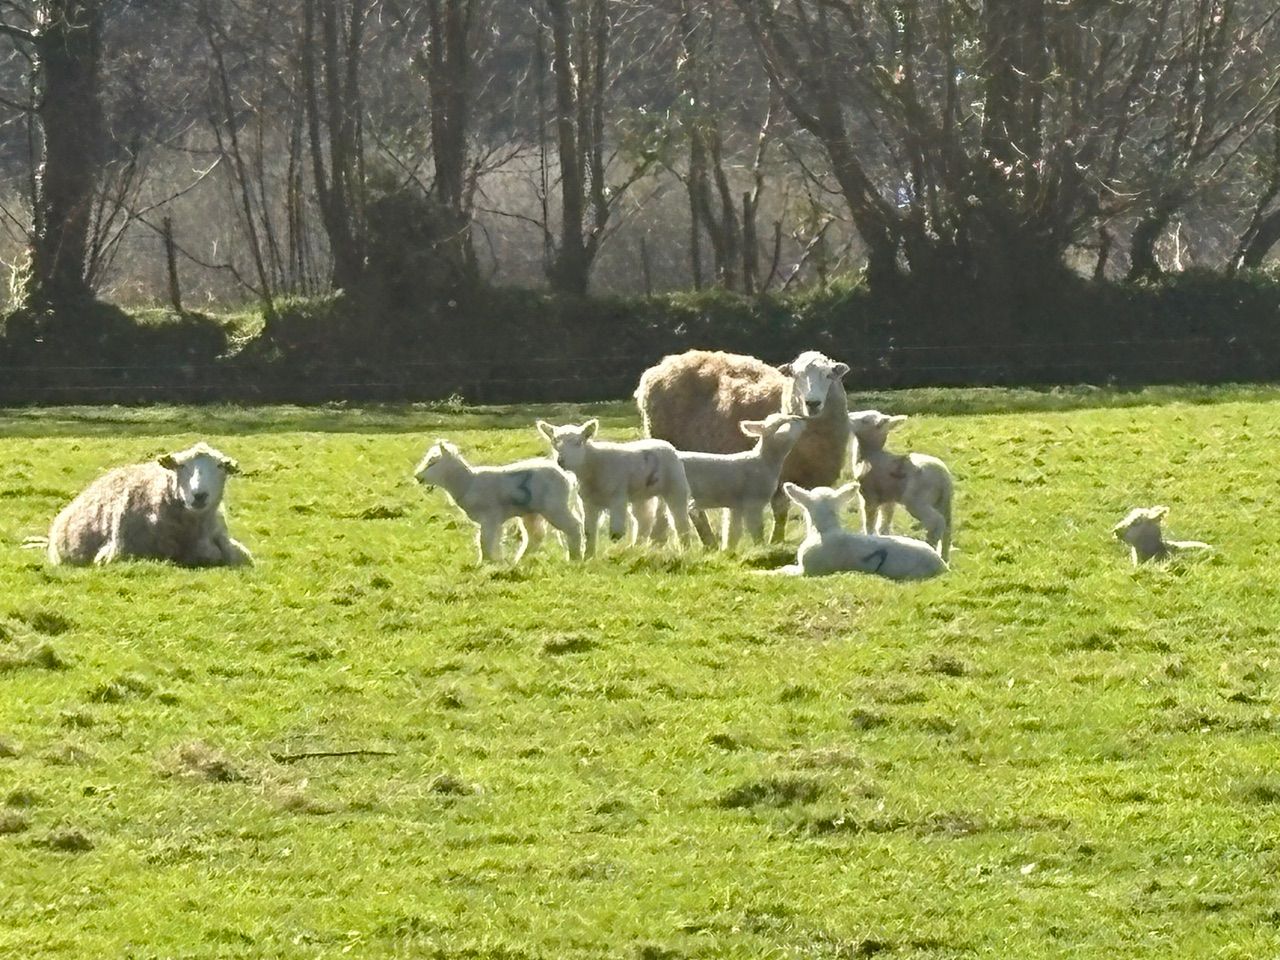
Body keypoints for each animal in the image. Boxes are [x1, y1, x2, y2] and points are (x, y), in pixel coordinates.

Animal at [413, 439, 583, 564]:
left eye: (433, 462)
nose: (417, 476)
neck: (467, 482)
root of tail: (567, 477)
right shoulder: (494, 520)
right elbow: (491, 539)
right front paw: (495, 561)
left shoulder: (490, 516)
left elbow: (484, 540)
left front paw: (485, 562)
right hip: (532, 512)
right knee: (535, 536)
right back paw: (519, 561)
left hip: (554, 506)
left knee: (574, 527)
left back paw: (575, 557)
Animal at [535, 419, 693, 557]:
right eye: (554, 443)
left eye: (578, 442)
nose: (561, 461)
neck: (593, 464)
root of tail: (665, 444)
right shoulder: (588, 502)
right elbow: (589, 531)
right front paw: (589, 557)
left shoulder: (618, 495)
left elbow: (616, 534)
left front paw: (613, 553)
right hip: (641, 494)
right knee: (644, 520)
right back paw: (636, 548)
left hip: (675, 484)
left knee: (680, 520)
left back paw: (685, 548)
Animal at [678, 413, 807, 551]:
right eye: (791, 420)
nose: (802, 418)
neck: (764, 461)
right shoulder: (753, 501)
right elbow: (757, 530)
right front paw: (761, 548)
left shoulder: (735, 505)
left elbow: (732, 532)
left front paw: (728, 551)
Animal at [847, 410, 954, 559]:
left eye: (865, 420)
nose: (847, 415)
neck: (870, 455)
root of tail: (943, 477)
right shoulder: (888, 498)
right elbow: (885, 522)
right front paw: (886, 538)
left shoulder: (869, 496)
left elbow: (870, 522)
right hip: (943, 501)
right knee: (948, 527)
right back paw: (944, 557)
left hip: (917, 498)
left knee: (936, 522)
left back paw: (930, 546)